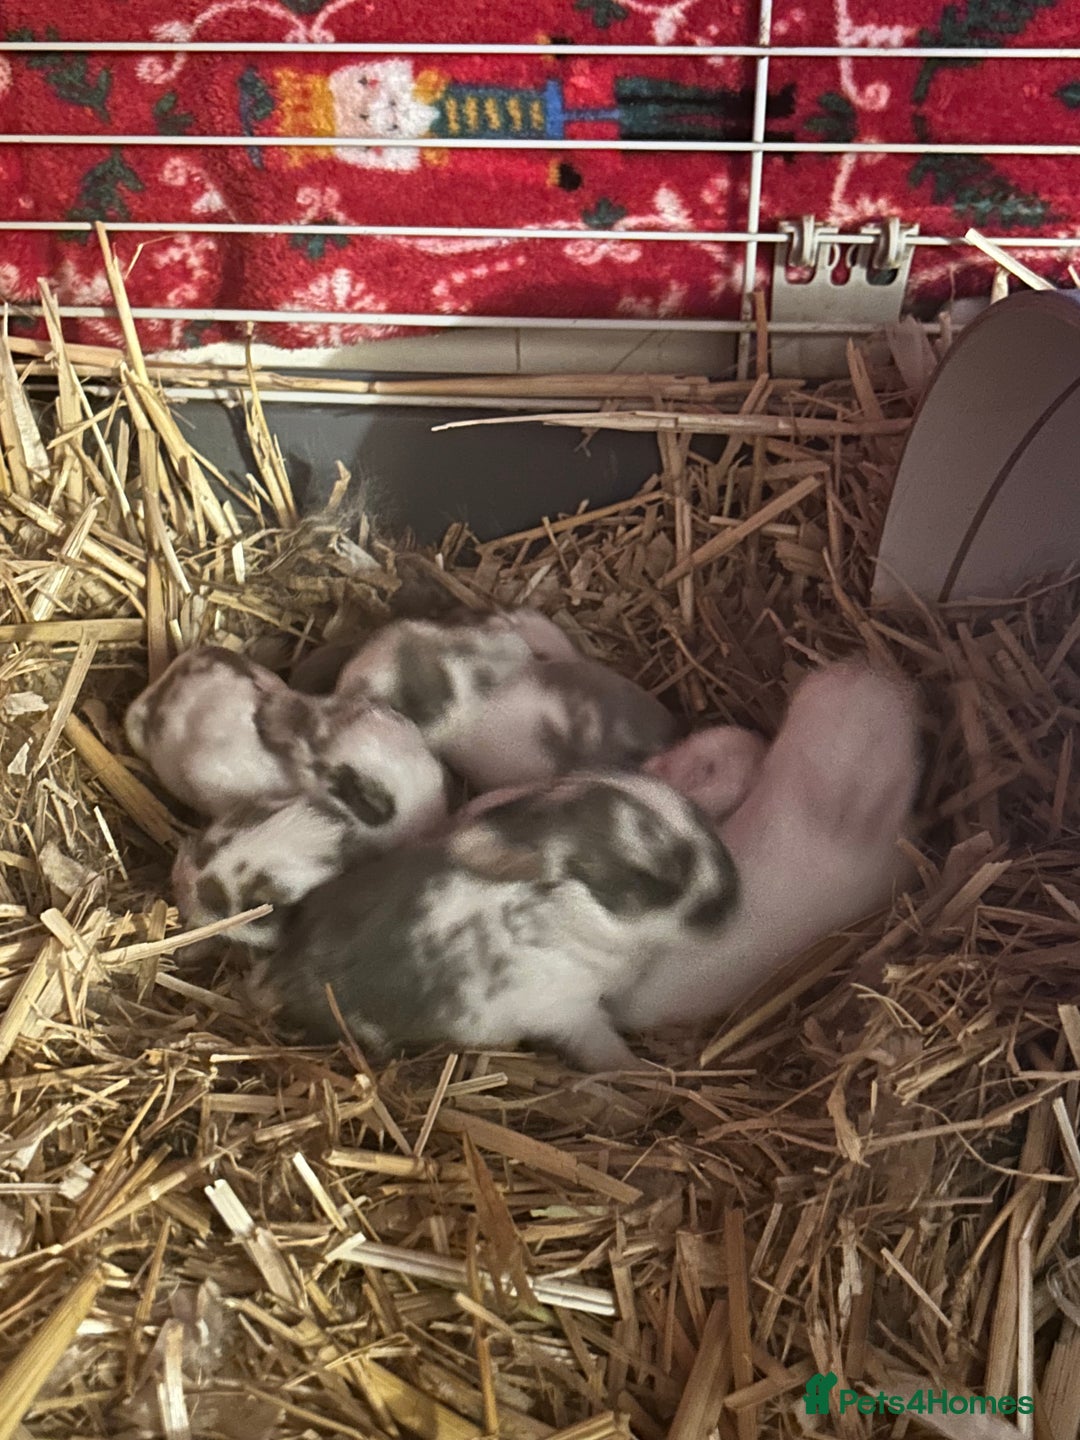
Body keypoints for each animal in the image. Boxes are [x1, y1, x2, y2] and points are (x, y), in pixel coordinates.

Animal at [259, 771, 740, 1072]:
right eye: (648, 878)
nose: (732, 903)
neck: (565, 918)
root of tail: (282, 973)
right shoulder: (570, 1012)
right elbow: (602, 1048)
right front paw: (639, 1071)